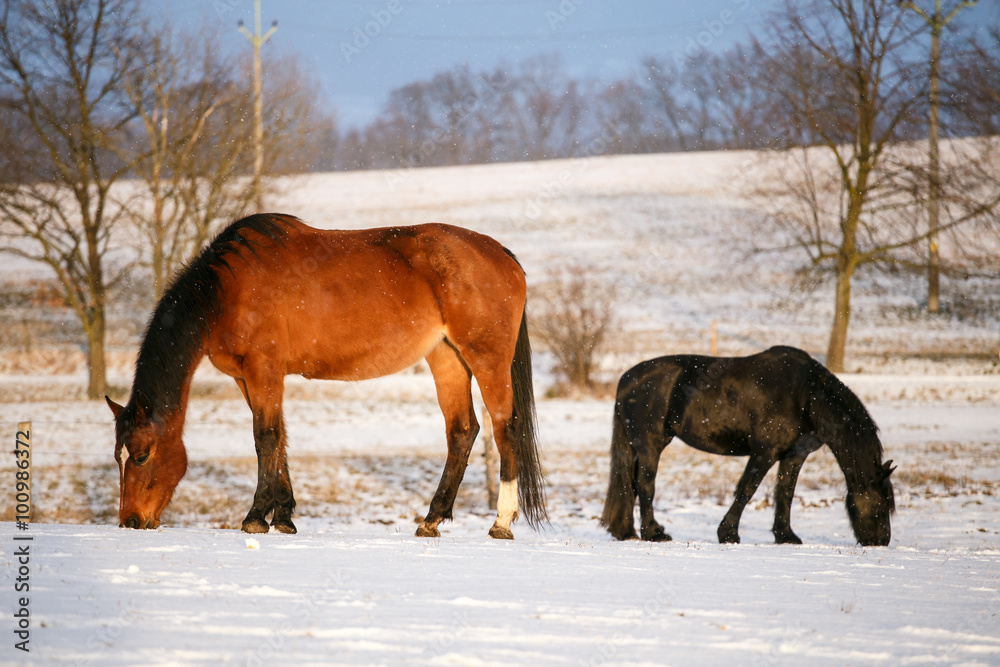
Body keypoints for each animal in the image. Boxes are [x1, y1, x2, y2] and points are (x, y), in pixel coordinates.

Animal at [105, 213, 546, 539]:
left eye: (142, 455)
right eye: (118, 455)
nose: (131, 521)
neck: (228, 289)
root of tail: (502, 254)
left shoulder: (264, 370)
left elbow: (265, 438)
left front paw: (255, 517)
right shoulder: (247, 378)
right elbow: (279, 439)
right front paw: (283, 517)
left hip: (487, 360)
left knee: (506, 428)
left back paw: (501, 522)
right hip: (446, 358)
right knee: (462, 431)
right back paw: (431, 519)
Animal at [601, 346, 895, 546]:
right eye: (882, 504)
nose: (882, 541)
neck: (806, 394)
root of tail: (627, 378)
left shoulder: (794, 455)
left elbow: (785, 494)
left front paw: (786, 535)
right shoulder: (764, 452)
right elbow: (747, 489)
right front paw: (728, 534)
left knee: (633, 486)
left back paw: (628, 531)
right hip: (650, 446)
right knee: (645, 486)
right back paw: (654, 533)